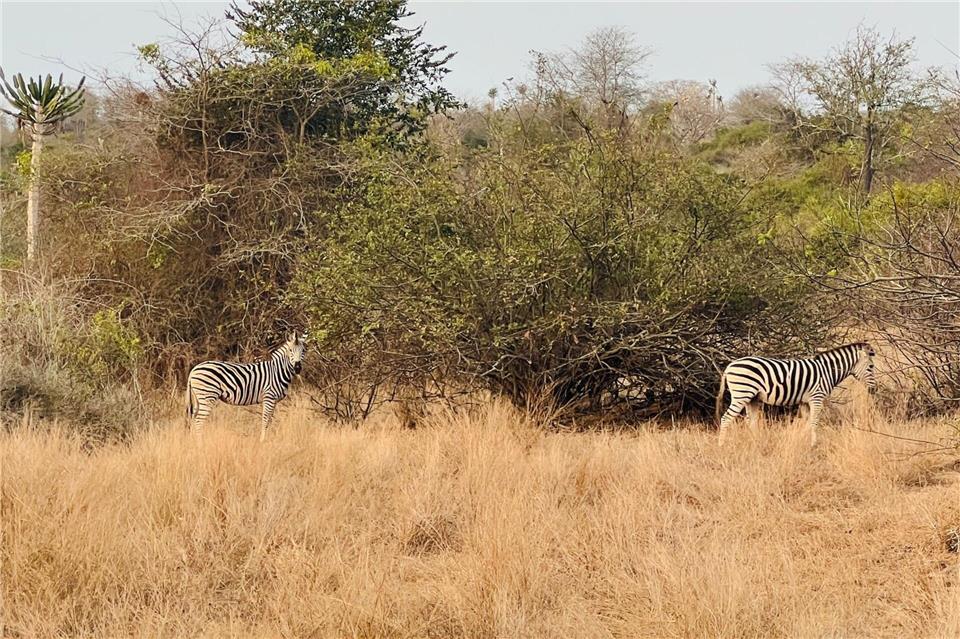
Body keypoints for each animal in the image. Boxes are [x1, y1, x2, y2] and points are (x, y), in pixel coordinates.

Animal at [715, 342, 876, 447]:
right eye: (871, 367)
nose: (874, 390)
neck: (827, 371)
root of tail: (729, 366)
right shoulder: (817, 397)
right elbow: (814, 421)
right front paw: (813, 444)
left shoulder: (805, 402)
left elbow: (807, 422)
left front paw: (802, 439)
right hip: (742, 394)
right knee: (726, 418)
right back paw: (721, 446)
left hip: (752, 398)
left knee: (751, 422)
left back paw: (756, 444)